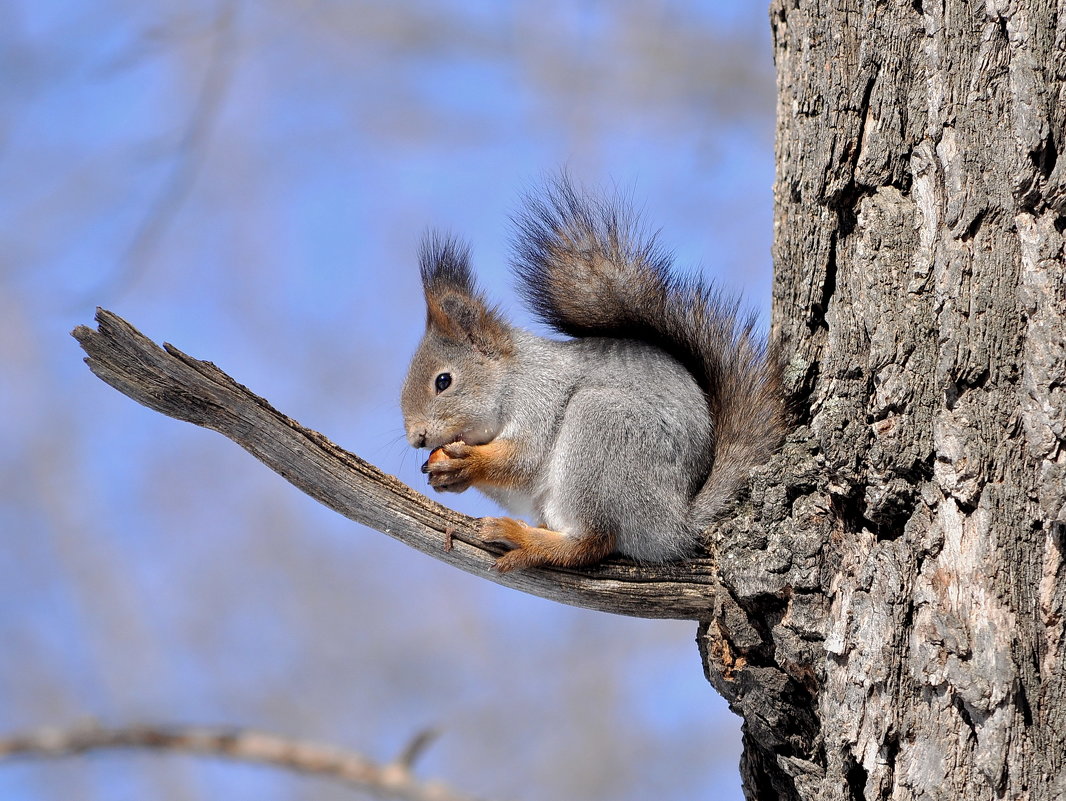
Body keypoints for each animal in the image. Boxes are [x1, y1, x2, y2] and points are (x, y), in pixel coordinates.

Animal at [400, 178, 784, 571]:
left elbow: (523, 459)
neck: (512, 377)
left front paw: (469, 462)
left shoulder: (539, 400)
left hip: (600, 433)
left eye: (443, 381)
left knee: (593, 541)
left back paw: (524, 538)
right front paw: (448, 475)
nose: (417, 438)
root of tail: (674, 526)